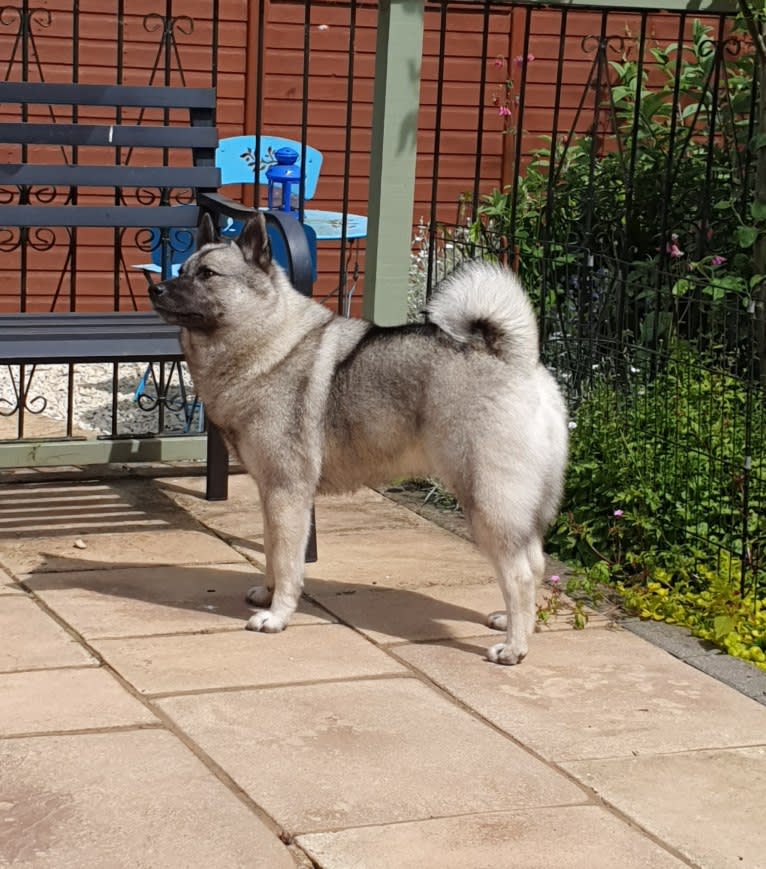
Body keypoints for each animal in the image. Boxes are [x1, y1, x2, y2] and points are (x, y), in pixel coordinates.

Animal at [152, 214, 568, 660]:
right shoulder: (271, 494)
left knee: (519, 572)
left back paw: (513, 647)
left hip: (487, 499)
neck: (270, 339)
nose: (154, 288)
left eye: (208, 275)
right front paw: (268, 594)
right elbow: (272, 550)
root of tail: (515, 359)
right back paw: (514, 621)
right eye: (181, 270)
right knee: (535, 562)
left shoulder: (287, 492)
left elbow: (287, 560)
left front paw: (277, 616)